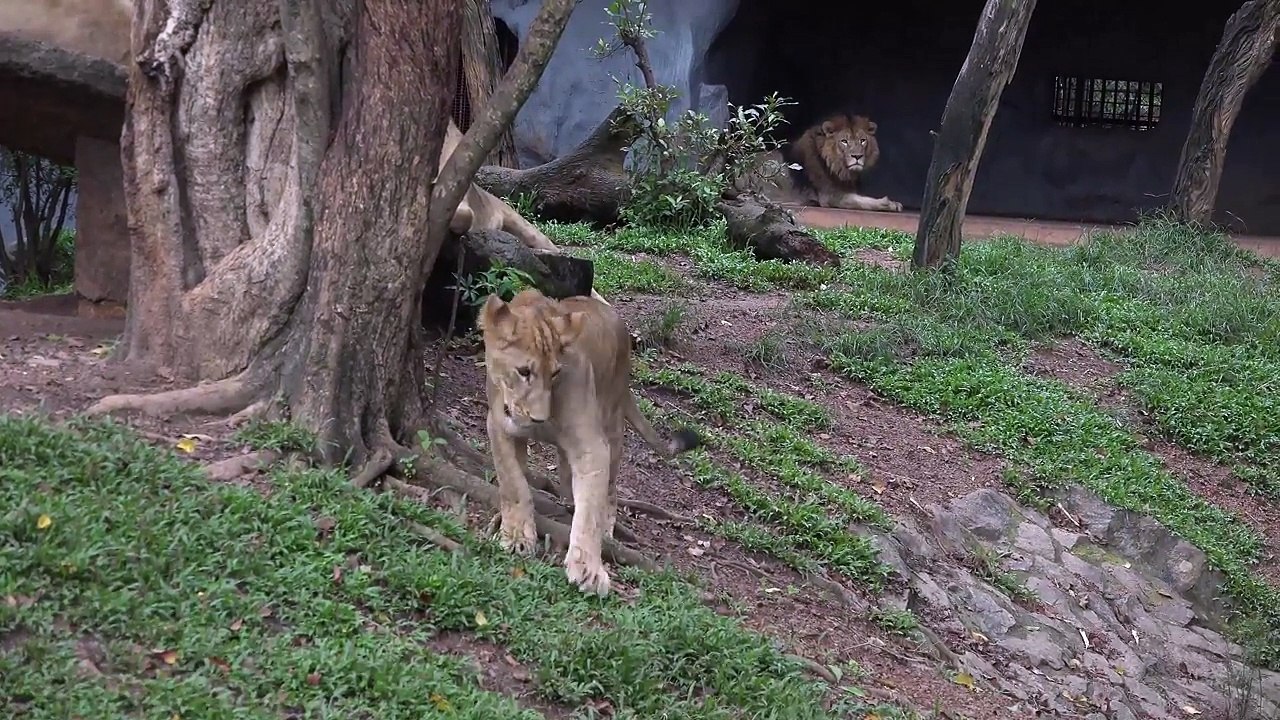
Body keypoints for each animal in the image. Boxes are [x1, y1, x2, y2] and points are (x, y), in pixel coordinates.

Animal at [478, 288, 700, 597]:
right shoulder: (499, 426)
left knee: (610, 490)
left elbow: (590, 511)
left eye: (555, 373)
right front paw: (516, 536)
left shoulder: (591, 446)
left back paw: (607, 530)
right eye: (523, 371)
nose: (538, 419)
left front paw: (588, 569)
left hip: (612, 427)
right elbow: (513, 484)